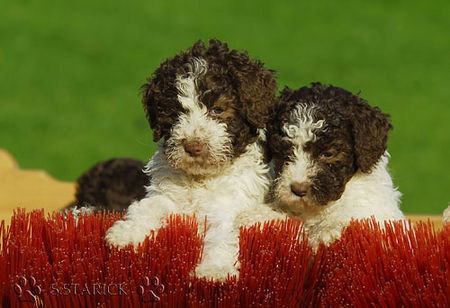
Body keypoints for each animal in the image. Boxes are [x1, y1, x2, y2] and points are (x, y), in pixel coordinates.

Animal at [104, 39, 284, 280]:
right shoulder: (168, 195)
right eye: (176, 114)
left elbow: (220, 234)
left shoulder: (227, 206)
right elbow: (149, 206)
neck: (201, 178)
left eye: (218, 109)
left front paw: (215, 269)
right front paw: (127, 233)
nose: (193, 146)